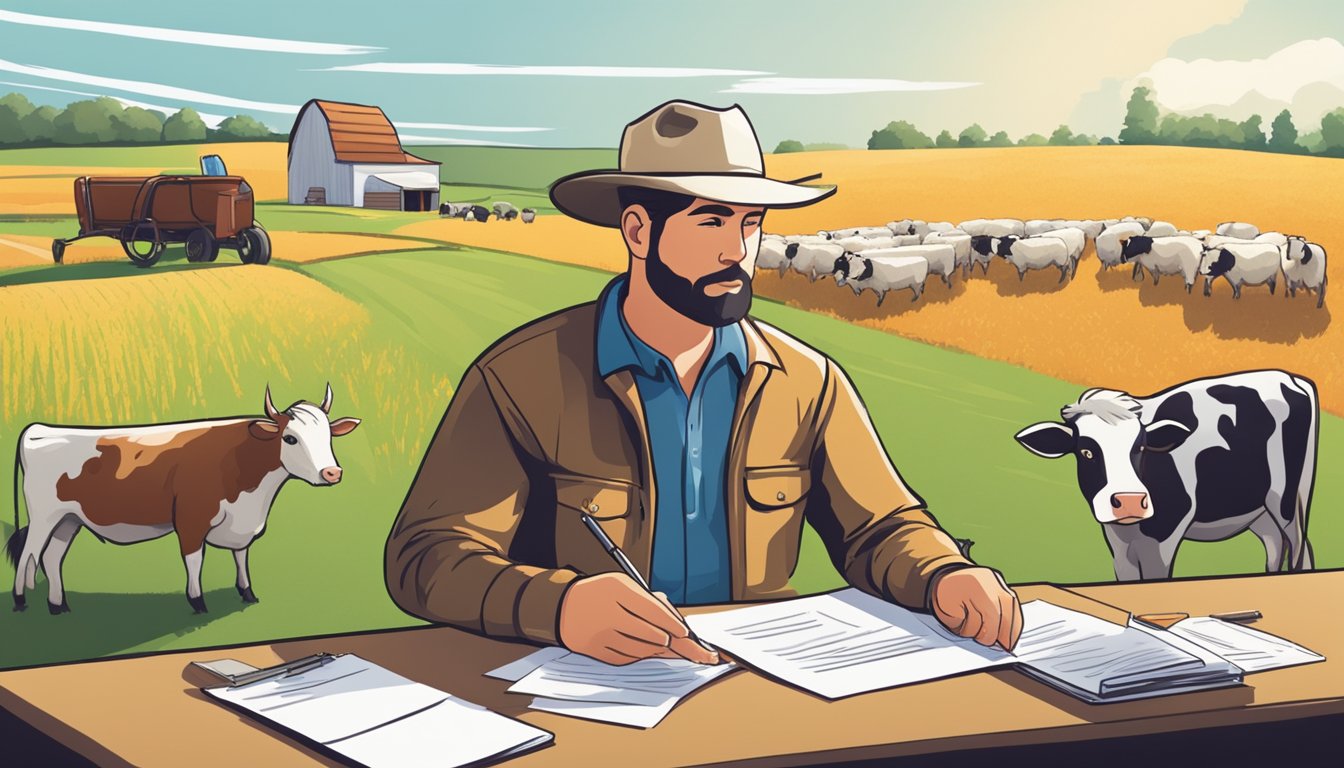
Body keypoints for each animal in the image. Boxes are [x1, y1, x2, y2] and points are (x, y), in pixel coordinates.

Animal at [5, 387, 360, 616]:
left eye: (328, 436)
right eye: (290, 438)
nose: (332, 472)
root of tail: (38, 430)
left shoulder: (242, 523)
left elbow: (241, 555)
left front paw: (247, 593)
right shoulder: (192, 518)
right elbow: (194, 560)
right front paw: (198, 602)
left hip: (69, 520)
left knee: (51, 557)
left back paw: (58, 605)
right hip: (44, 517)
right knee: (29, 556)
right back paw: (21, 602)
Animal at [1016, 368, 1311, 581]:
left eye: (1140, 447)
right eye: (1086, 451)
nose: (1130, 501)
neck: (1134, 529)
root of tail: (1291, 378)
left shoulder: (1164, 537)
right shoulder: (1118, 542)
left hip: (1289, 501)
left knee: (1299, 549)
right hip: (1260, 511)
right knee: (1276, 547)